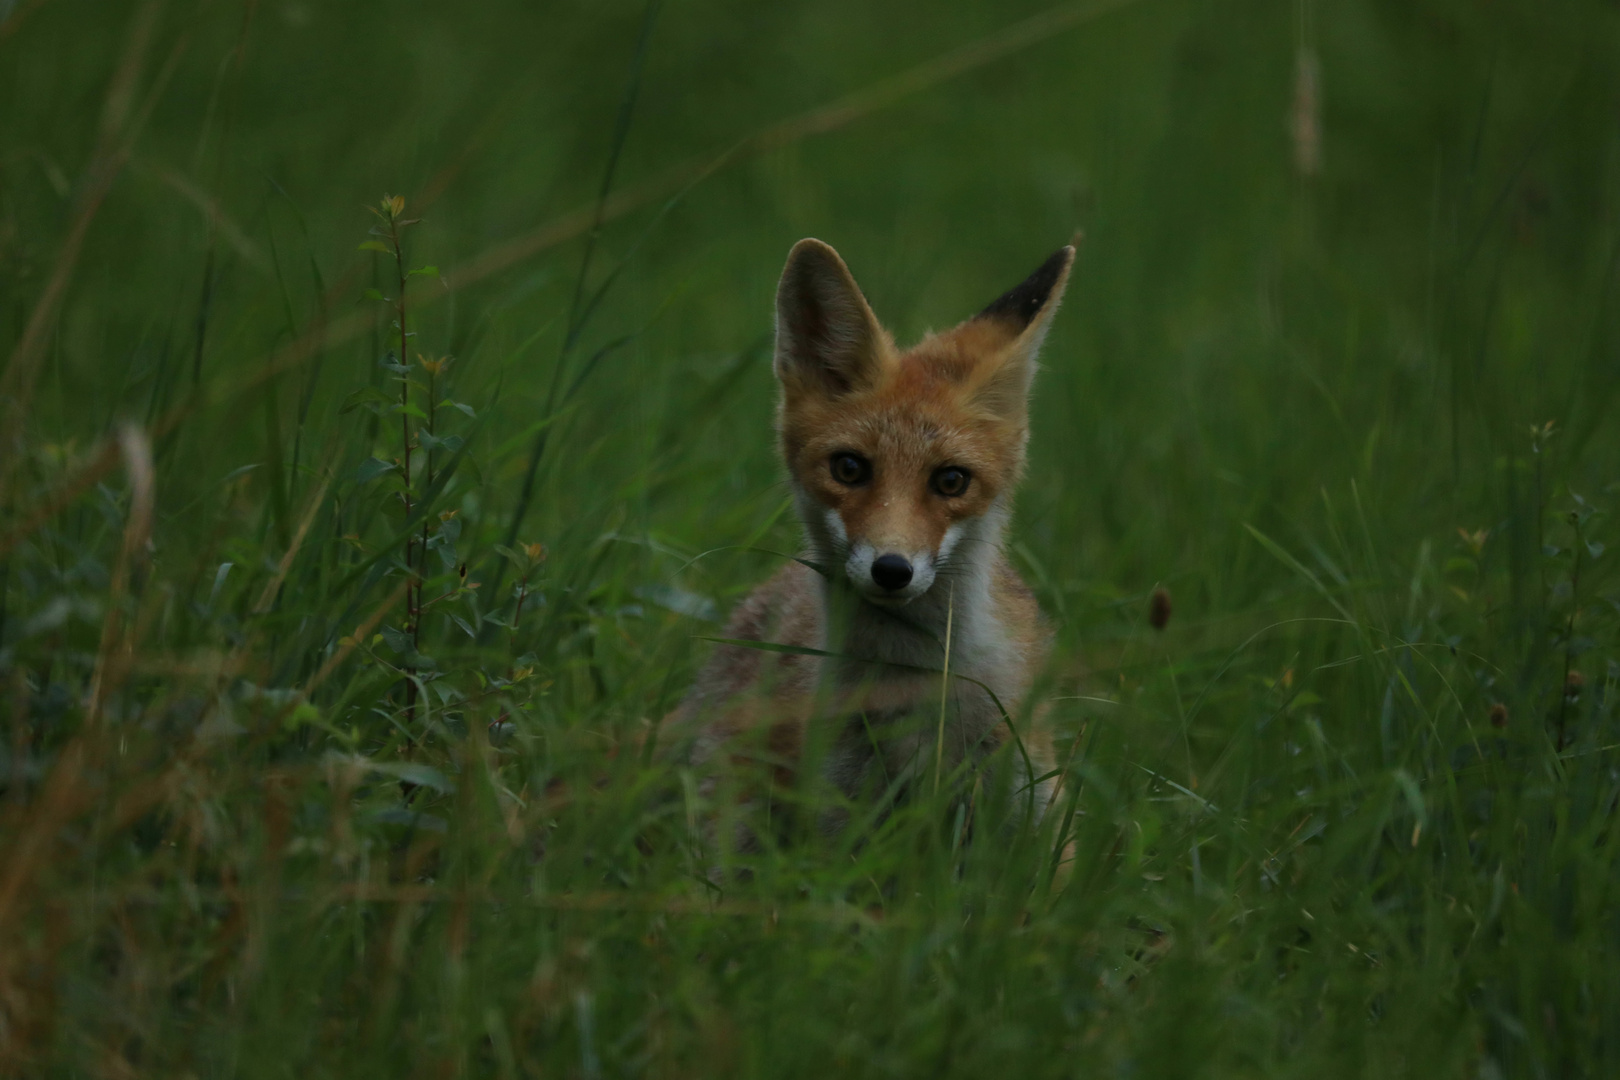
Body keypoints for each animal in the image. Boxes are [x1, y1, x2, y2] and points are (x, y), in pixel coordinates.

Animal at [657, 238, 1075, 854]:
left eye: (951, 481)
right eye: (849, 468)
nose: (892, 569)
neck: (917, 692)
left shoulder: (1033, 813)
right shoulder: (839, 824)